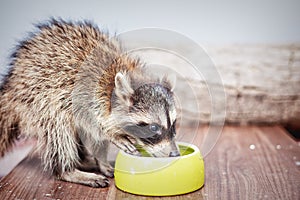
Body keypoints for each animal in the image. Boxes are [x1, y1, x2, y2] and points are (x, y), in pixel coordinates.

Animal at [0, 19, 179, 188]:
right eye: (153, 127)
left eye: (174, 124)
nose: (175, 154)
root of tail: (12, 84)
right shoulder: (81, 93)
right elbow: (92, 123)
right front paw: (112, 135)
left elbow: (97, 138)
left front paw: (102, 160)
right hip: (36, 100)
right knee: (59, 129)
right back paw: (67, 170)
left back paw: (85, 161)